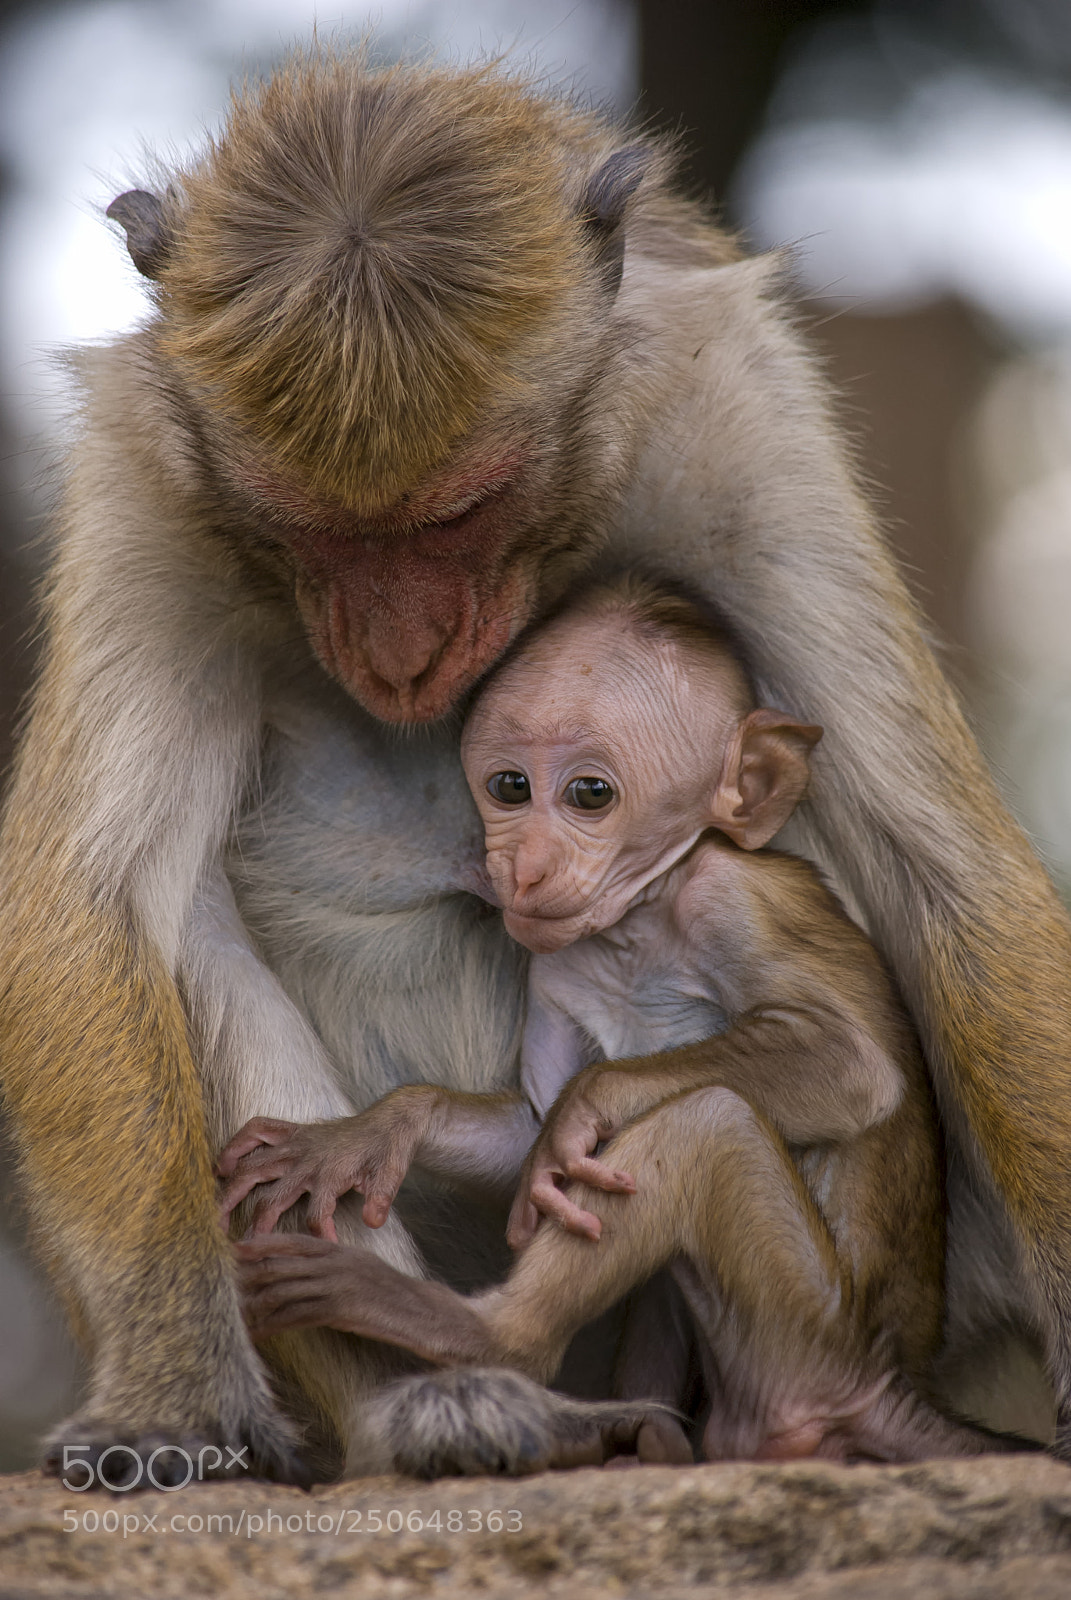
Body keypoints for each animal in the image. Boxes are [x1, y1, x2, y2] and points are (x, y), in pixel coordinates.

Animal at [222, 577, 1032, 1468]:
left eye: (590, 794)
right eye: (509, 786)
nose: (523, 867)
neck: (636, 926)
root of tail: (891, 1383)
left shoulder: (729, 900)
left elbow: (848, 1065)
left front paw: (589, 1102)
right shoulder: (553, 966)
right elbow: (530, 1135)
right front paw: (372, 1131)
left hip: (809, 1330)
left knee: (705, 1122)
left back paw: (486, 1338)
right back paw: (641, 1435)